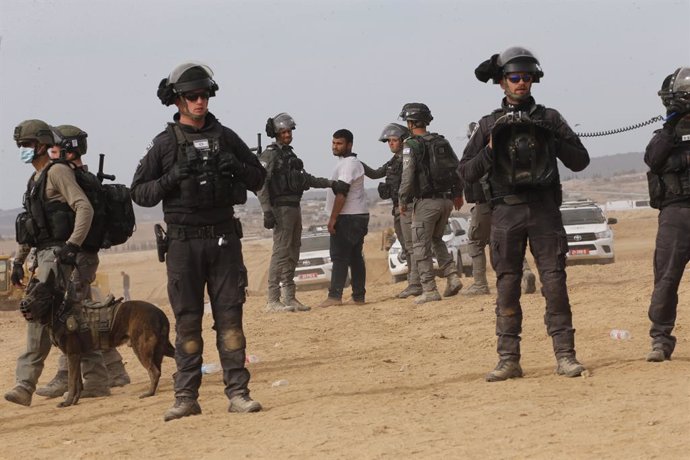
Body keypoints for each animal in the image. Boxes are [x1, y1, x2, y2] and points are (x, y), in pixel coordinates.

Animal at [20, 272, 175, 408]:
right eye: (28, 293)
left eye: (40, 294)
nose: (23, 304)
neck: (61, 311)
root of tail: (159, 313)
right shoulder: (77, 356)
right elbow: (78, 382)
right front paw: (75, 401)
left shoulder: (72, 355)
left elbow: (71, 382)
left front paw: (67, 402)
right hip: (162, 347)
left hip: (141, 348)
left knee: (154, 371)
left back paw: (149, 393)